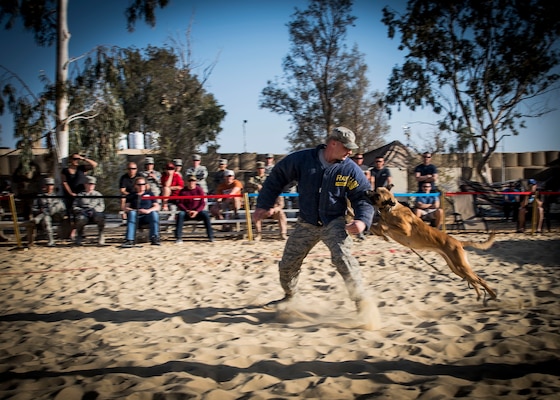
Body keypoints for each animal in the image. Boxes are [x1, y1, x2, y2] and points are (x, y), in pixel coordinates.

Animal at [366, 185, 496, 300]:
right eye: (374, 189)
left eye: (377, 194)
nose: (367, 191)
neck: (391, 209)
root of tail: (459, 242)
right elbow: (375, 226)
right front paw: (379, 233)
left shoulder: (405, 229)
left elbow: (386, 226)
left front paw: (383, 232)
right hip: (455, 268)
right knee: (473, 280)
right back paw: (479, 295)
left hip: (461, 266)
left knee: (479, 279)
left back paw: (493, 295)